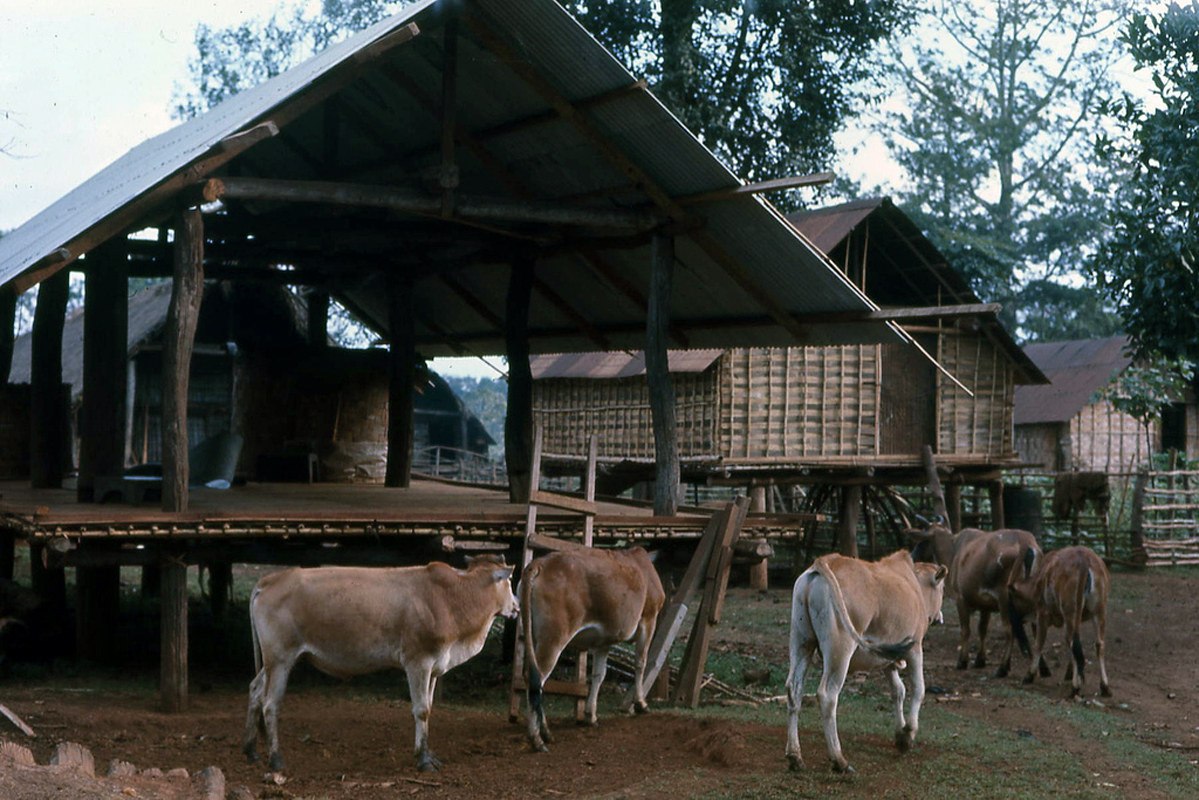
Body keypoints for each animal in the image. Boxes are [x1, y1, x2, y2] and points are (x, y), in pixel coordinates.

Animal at [240, 554, 517, 772]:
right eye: (509, 581)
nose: (516, 606)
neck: (450, 599)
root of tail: (271, 580)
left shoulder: (435, 666)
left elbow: (429, 708)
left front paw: (428, 753)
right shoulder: (418, 661)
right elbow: (421, 709)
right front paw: (424, 760)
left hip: (273, 661)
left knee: (255, 690)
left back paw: (251, 750)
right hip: (281, 658)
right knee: (270, 704)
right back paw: (276, 759)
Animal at [517, 546, 666, 753]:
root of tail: (539, 563)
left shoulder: (603, 640)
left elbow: (598, 675)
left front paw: (591, 716)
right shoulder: (649, 618)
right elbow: (641, 662)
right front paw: (641, 704)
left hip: (533, 636)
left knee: (534, 678)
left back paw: (545, 732)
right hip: (553, 637)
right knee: (536, 678)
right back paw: (537, 738)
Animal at [781, 554, 949, 772]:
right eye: (942, 588)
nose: (940, 617)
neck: (914, 584)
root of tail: (825, 561)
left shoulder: (888, 658)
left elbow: (898, 691)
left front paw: (900, 734)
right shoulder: (914, 649)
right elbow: (918, 689)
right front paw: (908, 734)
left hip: (802, 642)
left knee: (794, 690)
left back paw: (795, 756)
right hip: (840, 650)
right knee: (827, 695)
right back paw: (839, 760)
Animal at [906, 525, 1040, 676]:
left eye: (922, 542)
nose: (912, 557)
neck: (953, 551)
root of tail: (1025, 543)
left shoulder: (960, 599)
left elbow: (965, 630)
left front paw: (962, 661)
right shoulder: (985, 604)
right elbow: (982, 629)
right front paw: (980, 660)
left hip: (1004, 600)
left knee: (1010, 630)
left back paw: (1003, 668)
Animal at [1011, 546, 1112, 695]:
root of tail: (1084, 560)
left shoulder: (1042, 613)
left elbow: (1038, 643)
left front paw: (1029, 675)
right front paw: (1072, 673)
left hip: (1071, 610)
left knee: (1073, 642)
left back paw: (1075, 687)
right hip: (1099, 612)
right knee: (1098, 644)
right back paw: (1104, 686)